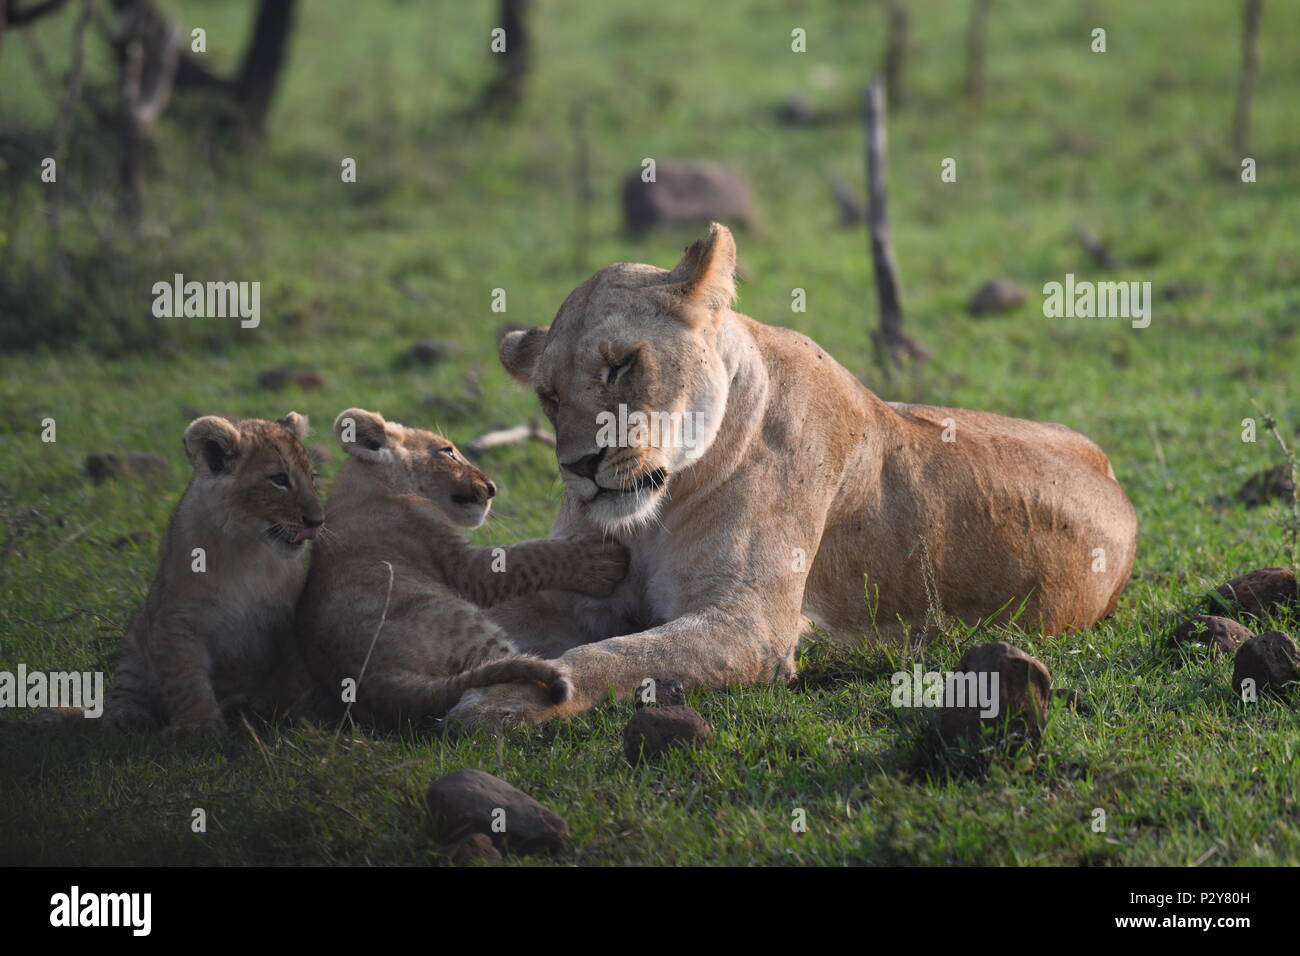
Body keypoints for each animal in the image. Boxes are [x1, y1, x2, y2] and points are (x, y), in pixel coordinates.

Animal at [292, 408, 629, 728]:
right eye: (448, 452)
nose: (491, 488)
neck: (367, 484)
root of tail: (381, 687)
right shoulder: (463, 567)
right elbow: (528, 556)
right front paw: (601, 562)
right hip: (472, 629)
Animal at [442, 222, 1138, 728]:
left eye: (621, 365)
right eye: (549, 397)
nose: (578, 466)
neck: (658, 511)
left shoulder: (749, 624)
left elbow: (611, 655)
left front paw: (502, 701)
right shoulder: (577, 587)